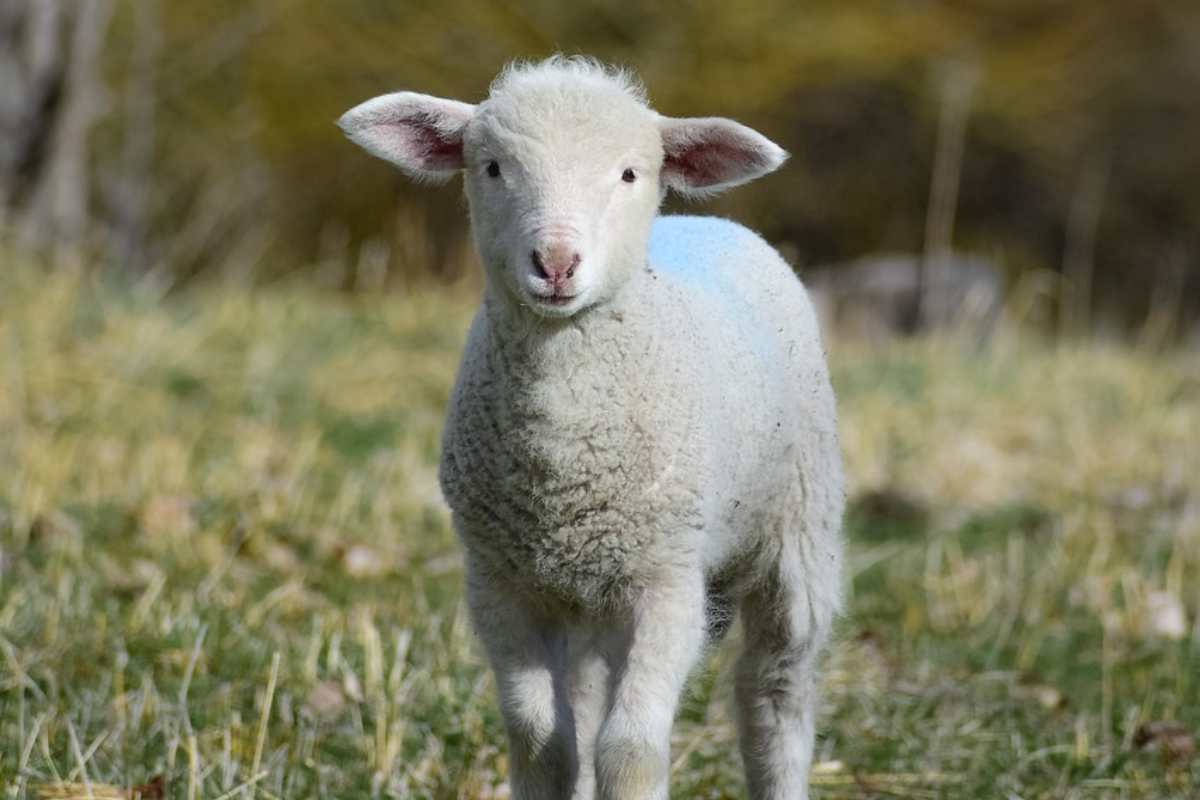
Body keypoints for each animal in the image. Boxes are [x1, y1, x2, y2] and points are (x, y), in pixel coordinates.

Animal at [338, 57, 844, 800]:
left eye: (630, 173)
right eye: (492, 167)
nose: (555, 263)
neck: (565, 454)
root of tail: (710, 222)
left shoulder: (668, 580)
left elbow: (629, 749)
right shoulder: (501, 583)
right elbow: (542, 741)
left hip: (798, 529)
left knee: (774, 694)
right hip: (584, 593)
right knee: (583, 697)